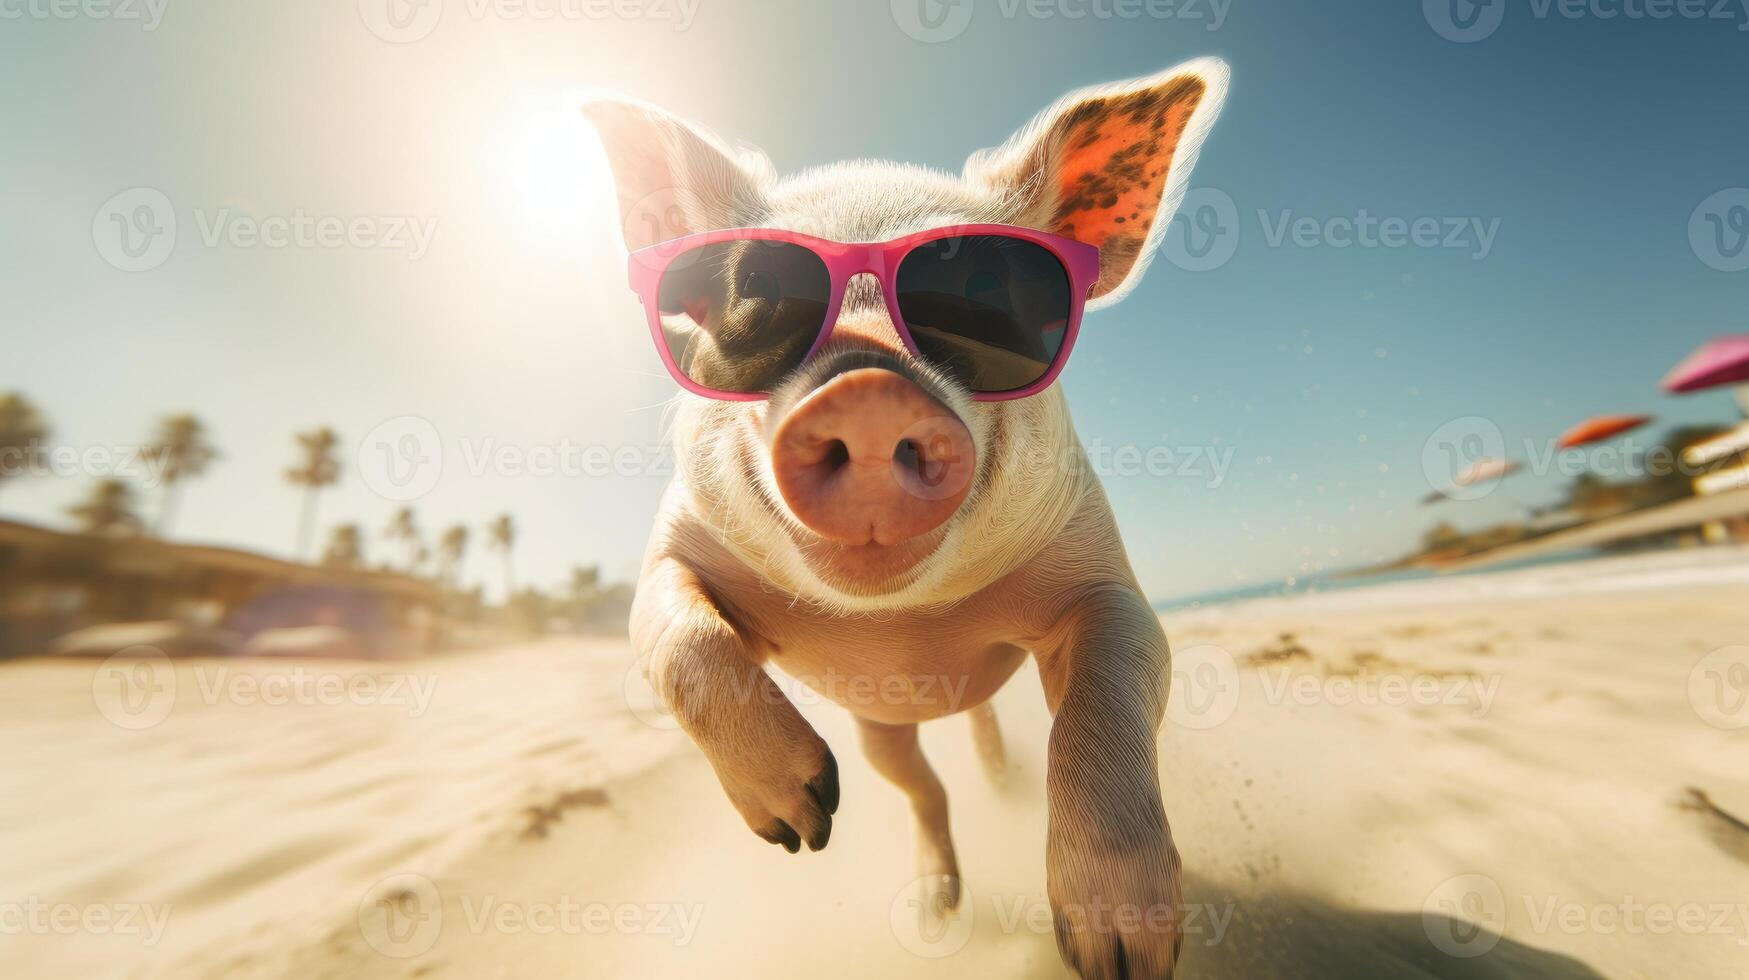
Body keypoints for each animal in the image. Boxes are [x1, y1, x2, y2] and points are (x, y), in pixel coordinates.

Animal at [587, 59, 1231, 980]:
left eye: (982, 290)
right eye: (755, 291)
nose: (866, 386)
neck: (904, 624)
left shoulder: (1099, 573)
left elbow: (1104, 697)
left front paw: (1118, 955)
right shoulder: (677, 546)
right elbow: (675, 635)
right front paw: (797, 828)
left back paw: (997, 791)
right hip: (878, 733)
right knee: (919, 787)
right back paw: (926, 907)